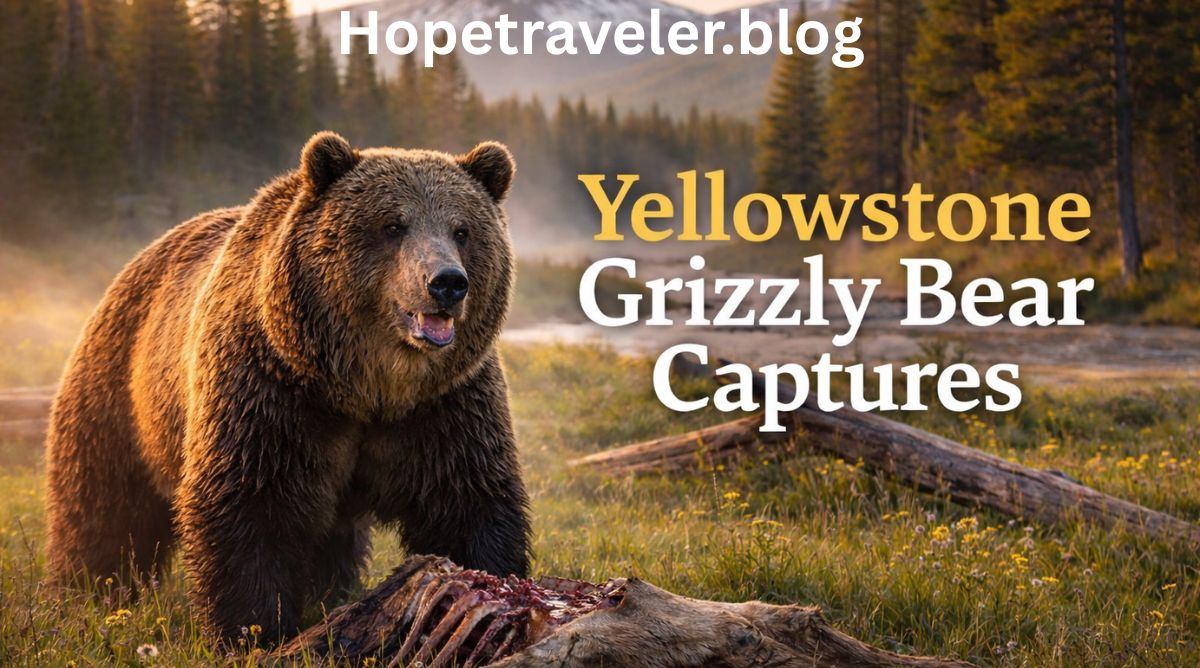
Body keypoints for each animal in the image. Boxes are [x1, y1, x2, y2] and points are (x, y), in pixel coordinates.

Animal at [43, 131, 531, 643]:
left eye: (462, 230)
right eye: (393, 225)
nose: (447, 282)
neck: (367, 388)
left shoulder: (444, 405)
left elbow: (466, 499)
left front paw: (491, 581)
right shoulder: (270, 392)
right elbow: (252, 504)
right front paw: (252, 628)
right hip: (118, 389)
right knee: (103, 506)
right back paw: (85, 591)